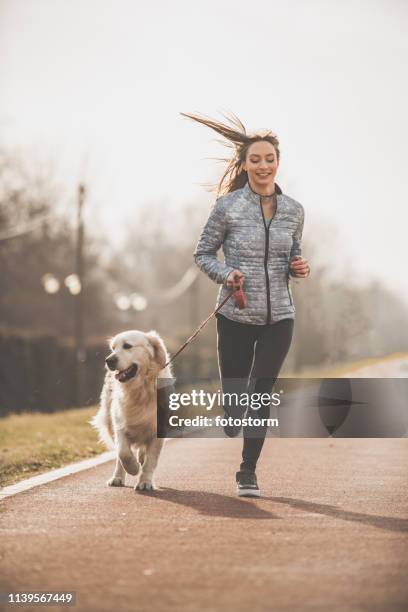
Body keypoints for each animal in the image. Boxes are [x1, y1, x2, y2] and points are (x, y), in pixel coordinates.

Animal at [91, 330, 175, 492]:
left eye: (127, 346)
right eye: (113, 348)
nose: (108, 360)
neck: (140, 390)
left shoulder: (158, 430)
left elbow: (151, 460)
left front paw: (145, 482)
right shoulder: (119, 425)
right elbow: (123, 452)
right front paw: (133, 468)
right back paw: (117, 478)